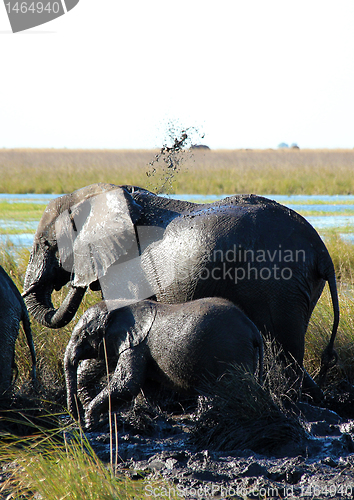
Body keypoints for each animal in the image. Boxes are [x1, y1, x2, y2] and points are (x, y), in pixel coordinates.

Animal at [64, 298, 262, 428]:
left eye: (83, 335)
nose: (78, 419)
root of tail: (252, 328)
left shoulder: (136, 345)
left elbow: (127, 384)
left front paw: (90, 420)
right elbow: (147, 387)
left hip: (231, 351)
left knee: (230, 390)